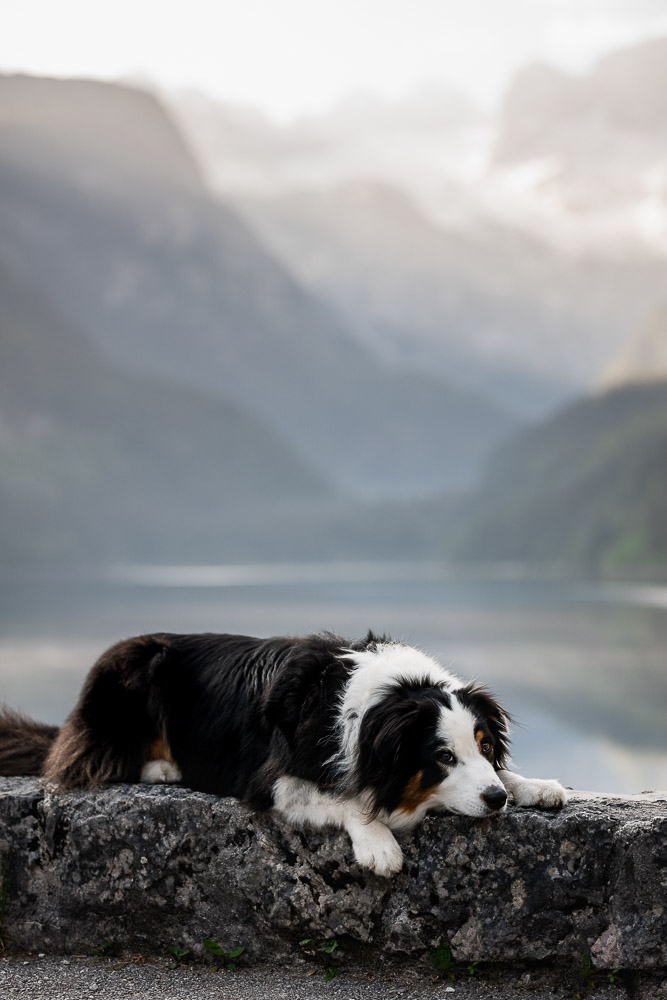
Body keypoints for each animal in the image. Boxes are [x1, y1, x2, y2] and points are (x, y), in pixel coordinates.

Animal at [0, 632, 568, 876]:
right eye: (443, 757)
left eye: (484, 746)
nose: (494, 801)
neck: (382, 705)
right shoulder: (271, 779)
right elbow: (346, 801)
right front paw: (379, 845)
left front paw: (535, 786)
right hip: (135, 674)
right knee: (95, 757)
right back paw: (163, 765)